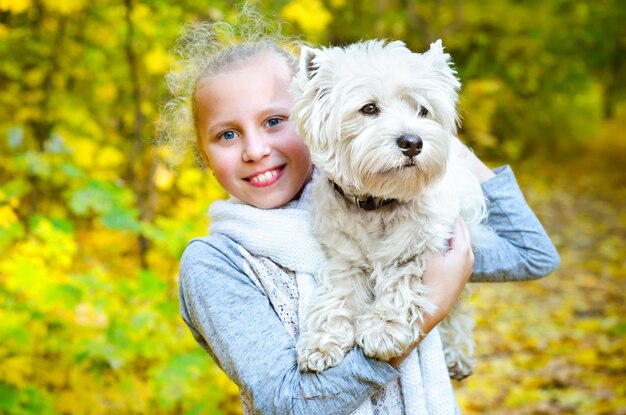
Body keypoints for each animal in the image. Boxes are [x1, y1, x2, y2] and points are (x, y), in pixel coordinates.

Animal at [288, 39, 492, 380]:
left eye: (423, 110)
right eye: (369, 108)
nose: (412, 142)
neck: (377, 204)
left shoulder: (421, 247)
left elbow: (401, 283)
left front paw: (383, 330)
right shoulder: (343, 256)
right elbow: (337, 293)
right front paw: (321, 343)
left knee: (458, 308)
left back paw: (457, 356)